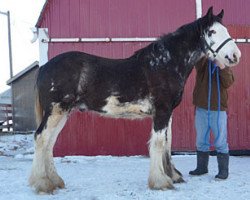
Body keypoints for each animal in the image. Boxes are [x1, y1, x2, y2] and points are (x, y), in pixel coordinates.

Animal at [28, 7, 240, 193]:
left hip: (63, 113)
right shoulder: (162, 112)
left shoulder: (167, 113)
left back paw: (55, 181)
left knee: (49, 143)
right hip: (56, 111)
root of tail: (45, 67)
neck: (165, 64)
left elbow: (167, 143)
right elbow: (158, 144)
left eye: (226, 30)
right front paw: (161, 182)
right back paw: (43, 184)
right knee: (41, 138)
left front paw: (173, 176)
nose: (234, 56)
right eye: (212, 31)